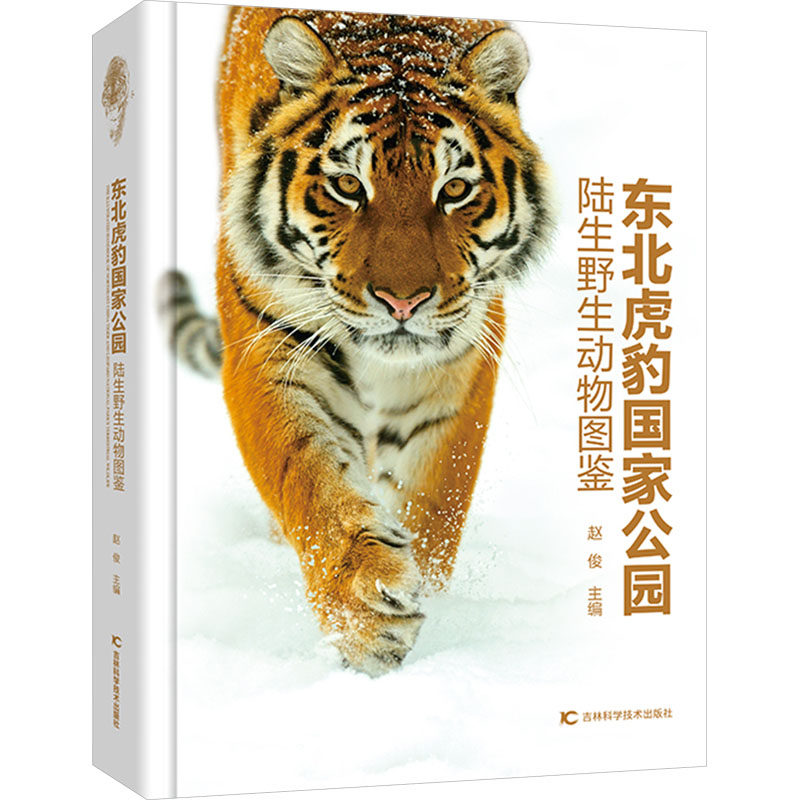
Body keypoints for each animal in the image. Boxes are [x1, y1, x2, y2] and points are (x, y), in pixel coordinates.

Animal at [164, 6, 553, 676]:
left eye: (454, 190)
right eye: (348, 186)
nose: (403, 302)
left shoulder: (460, 362)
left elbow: (432, 504)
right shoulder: (267, 340)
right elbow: (307, 477)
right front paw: (365, 617)